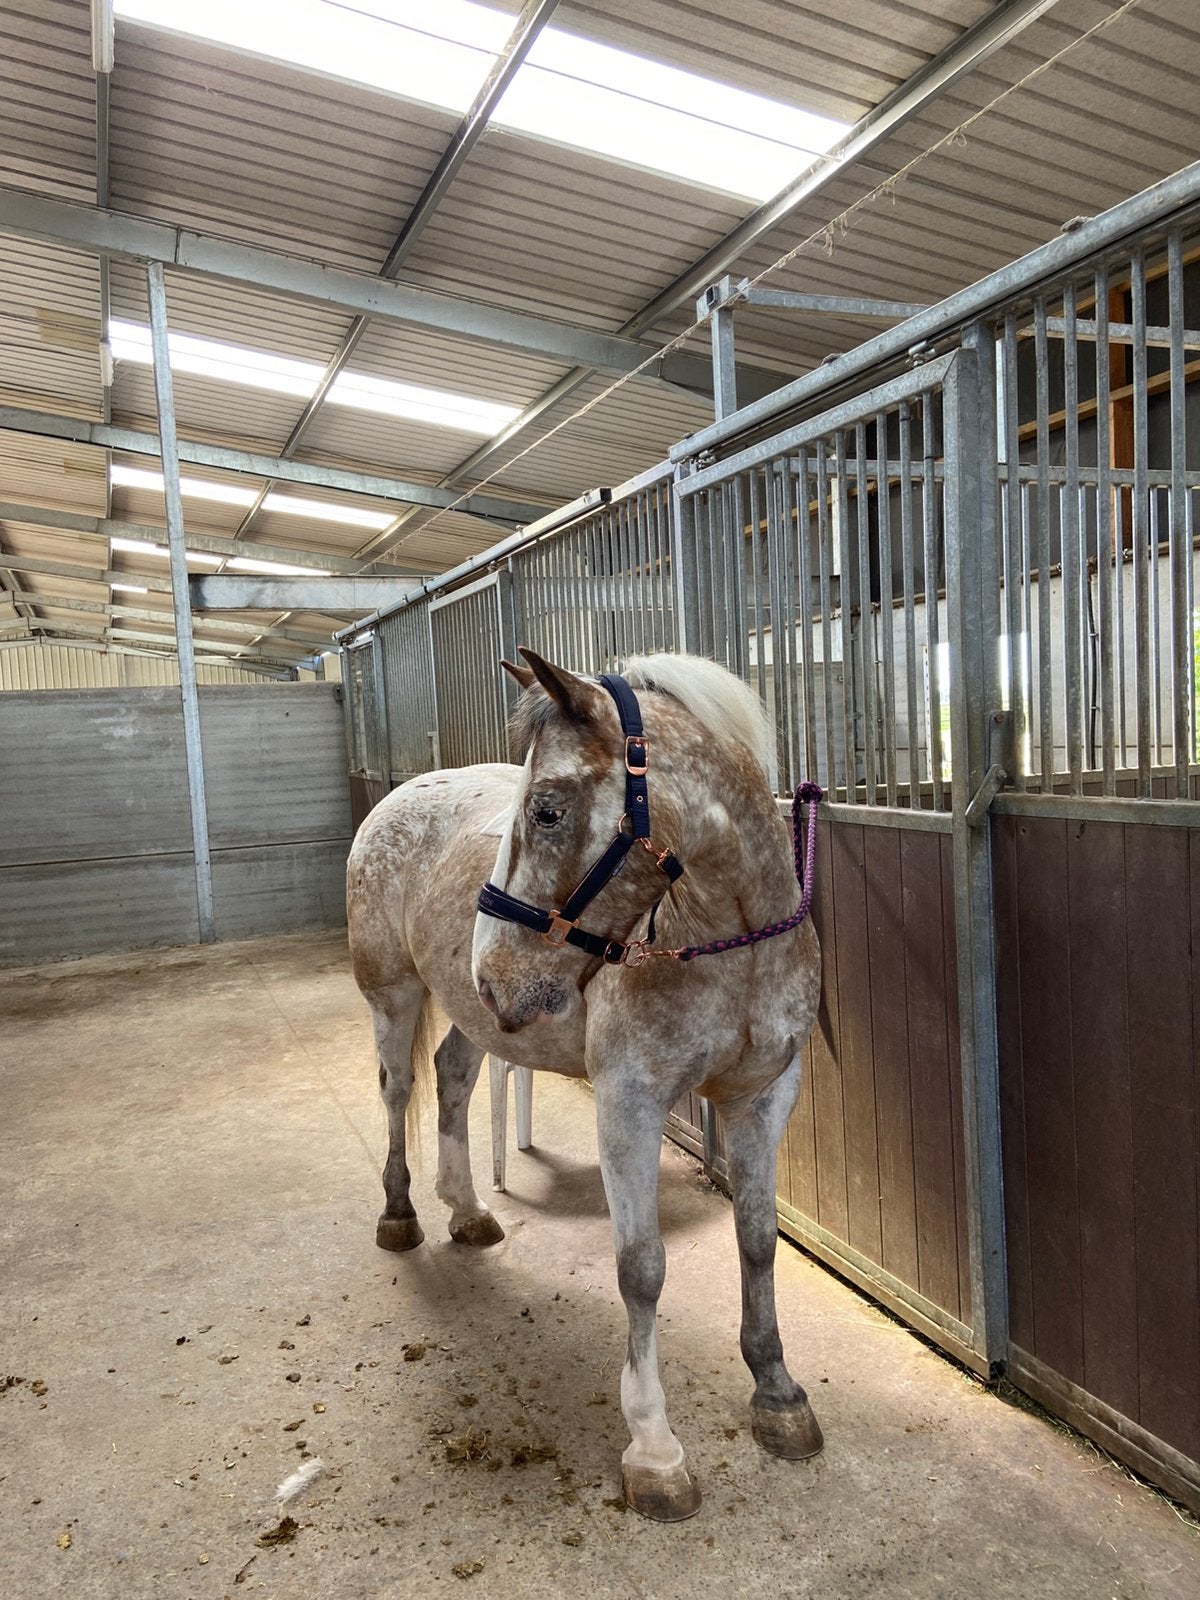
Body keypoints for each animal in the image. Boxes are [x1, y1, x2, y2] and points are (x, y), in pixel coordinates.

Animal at [346, 648, 825, 1521]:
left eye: (546, 811)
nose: (493, 972)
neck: (727, 941)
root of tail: (403, 792)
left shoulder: (764, 1097)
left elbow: (757, 1241)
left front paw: (778, 1394)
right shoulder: (627, 1105)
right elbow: (642, 1269)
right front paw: (655, 1451)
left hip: (469, 1019)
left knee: (453, 1081)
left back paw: (467, 1211)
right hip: (394, 995)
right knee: (397, 1092)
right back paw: (401, 1216)